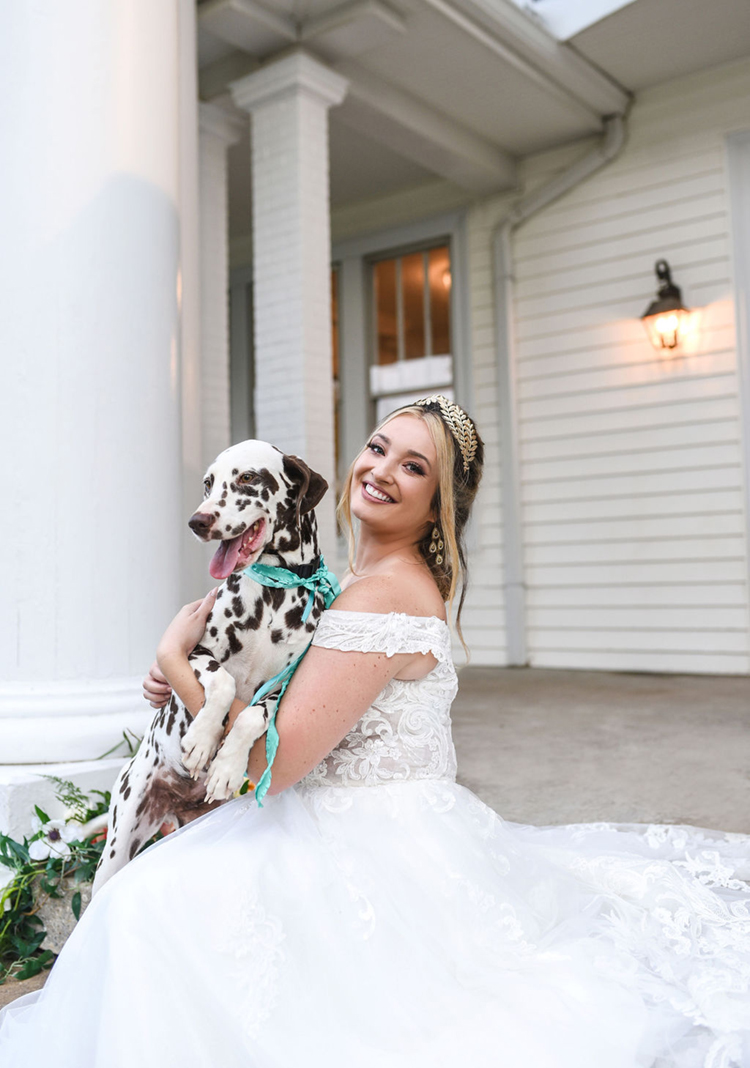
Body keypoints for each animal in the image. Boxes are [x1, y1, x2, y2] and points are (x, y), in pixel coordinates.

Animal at [93, 440, 329, 892]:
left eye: (248, 478)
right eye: (207, 482)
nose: (197, 521)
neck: (274, 596)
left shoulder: (284, 688)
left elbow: (253, 716)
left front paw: (227, 765)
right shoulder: (194, 653)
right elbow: (221, 684)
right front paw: (202, 741)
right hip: (118, 842)